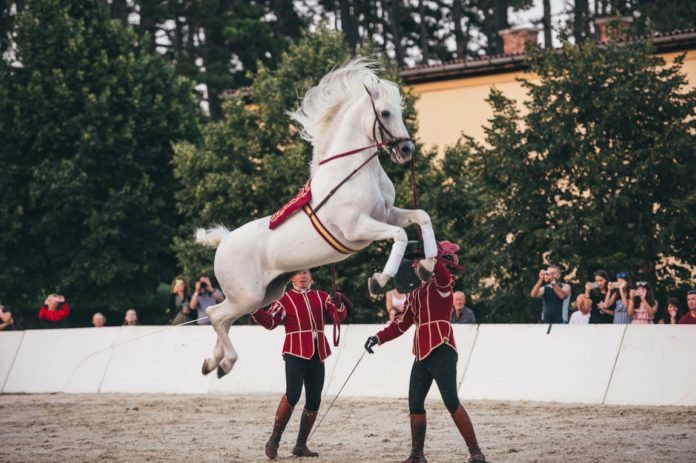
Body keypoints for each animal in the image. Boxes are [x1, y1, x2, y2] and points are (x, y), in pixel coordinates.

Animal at [195, 59, 438, 378]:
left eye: (399, 111)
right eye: (385, 113)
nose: (406, 150)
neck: (353, 172)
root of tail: (223, 242)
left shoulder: (389, 214)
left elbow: (422, 217)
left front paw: (427, 266)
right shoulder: (358, 228)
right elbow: (400, 236)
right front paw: (378, 280)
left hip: (265, 294)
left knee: (223, 318)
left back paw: (212, 363)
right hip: (247, 295)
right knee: (215, 315)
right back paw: (224, 363)